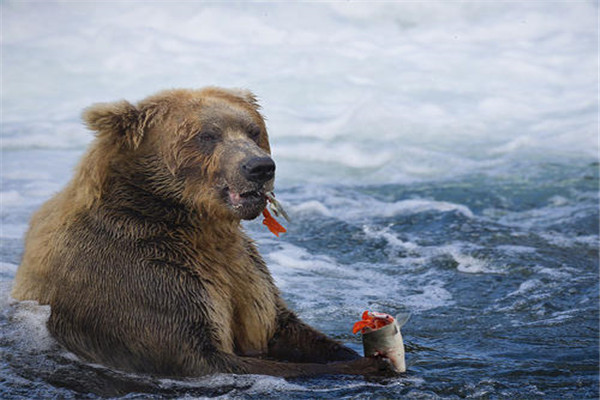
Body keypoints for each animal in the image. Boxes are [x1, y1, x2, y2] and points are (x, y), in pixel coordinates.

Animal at [12, 87, 394, 378]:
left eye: (253, 130)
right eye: (207, 135)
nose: (260, 167)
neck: (193, 223)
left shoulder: (245, 269)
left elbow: (279, 324)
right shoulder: (140, 274)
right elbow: (203, 354)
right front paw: (371, 365)